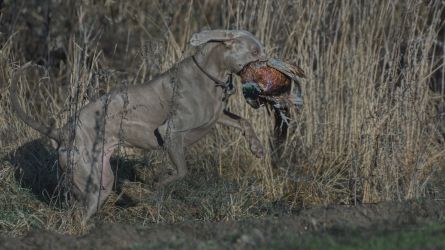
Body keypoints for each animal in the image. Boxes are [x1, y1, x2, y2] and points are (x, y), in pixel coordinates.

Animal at [11, 29, 268, 223]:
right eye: (255, 51)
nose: (270, 64)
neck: (210, 74)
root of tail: (62, 132)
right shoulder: (170, 131)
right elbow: (182, 171)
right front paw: (157, 184)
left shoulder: (216, 115)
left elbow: (243, 120)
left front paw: (257, 147)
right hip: (89, 177)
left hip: (101, 181)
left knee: (79, 208)